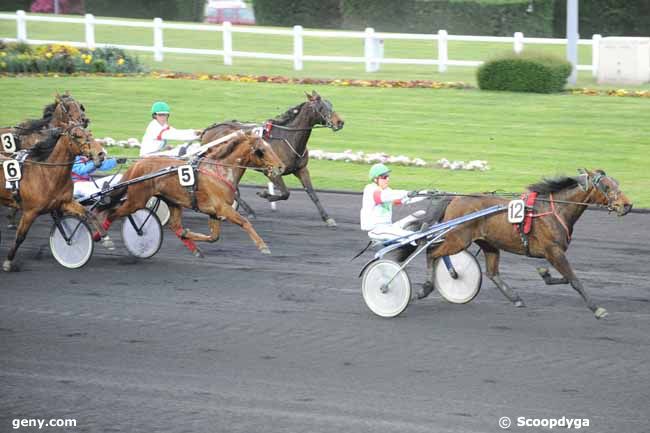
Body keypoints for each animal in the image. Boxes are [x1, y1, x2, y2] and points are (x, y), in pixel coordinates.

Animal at [0, 123, 104, 270]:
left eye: (89, 133)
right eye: (77, 135)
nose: (101, 154)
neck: (47, 174)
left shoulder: (64, 203)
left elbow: (87, 215)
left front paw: (105, 238)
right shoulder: (30, 212)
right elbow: (20, 237)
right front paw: (8, 262)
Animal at [101, 130, 284, 255]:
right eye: (261, 150)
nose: (281, 166)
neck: (220, 170)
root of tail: (138, 164)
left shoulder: (214, 212)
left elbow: (213, 237)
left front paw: (188, 234)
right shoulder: (223, 208)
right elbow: (245, 222)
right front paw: (263, 246)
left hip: (173, 201)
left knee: (175, 226)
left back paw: (191, 245)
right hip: (136, 200)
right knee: (111, 213)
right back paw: (103, 237)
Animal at [200, 90, 344, 226]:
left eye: (331, 105)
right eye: (322, 107)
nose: (340, 122)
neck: (288, 138)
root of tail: (209, 129)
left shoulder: (302, 169)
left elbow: (312, 194)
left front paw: (327, 218)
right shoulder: (272, 172)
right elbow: (285, 193)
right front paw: (265, 195)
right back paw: (249, 211)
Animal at [418, 169, 632, 318]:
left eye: (617, 183)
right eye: (606, 187)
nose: (628, 205)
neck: (556, 210)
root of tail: (454, 198)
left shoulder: (554, 253)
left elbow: (564, 277)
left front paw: (545, 274)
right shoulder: (553, 251)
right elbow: (574, 279)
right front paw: (596, 309)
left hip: (489, 244)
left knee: (492, 273)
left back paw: (516, 298)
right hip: (458, 239)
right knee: (431, 252)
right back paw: (425, 288)